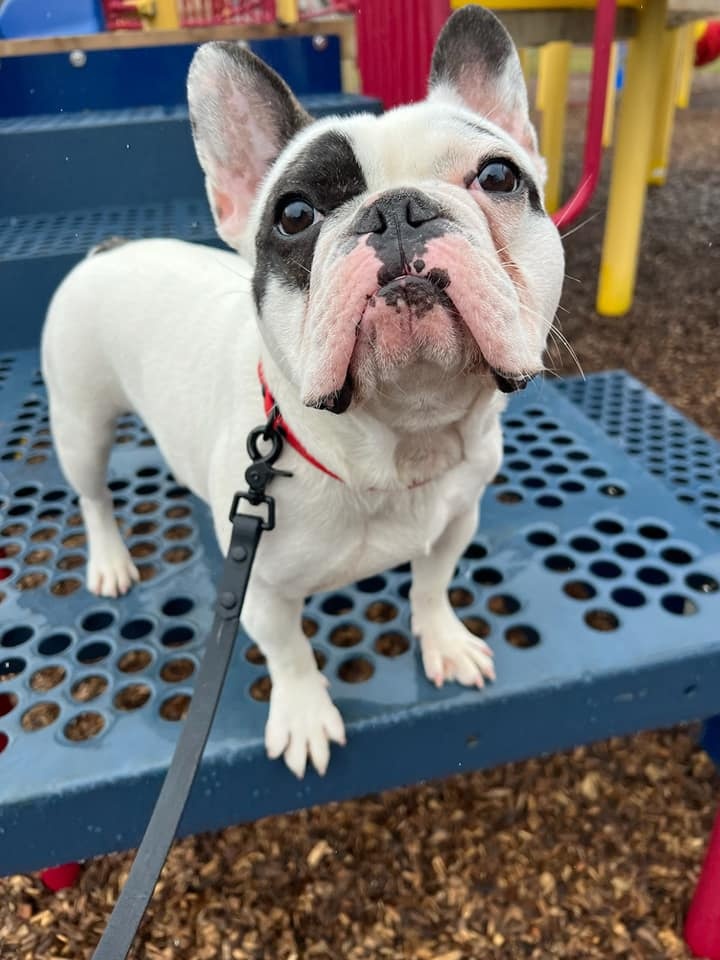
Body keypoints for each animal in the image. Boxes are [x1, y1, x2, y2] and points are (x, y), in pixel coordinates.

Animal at [42, 7, 564, 780]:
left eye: (499, 176)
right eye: (294, 214)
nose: (398, 211)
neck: (397, 445)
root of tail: (108, 249)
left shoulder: (456, 520)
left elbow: (432, 583)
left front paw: (443, 639)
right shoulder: (259, 589)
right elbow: (288, 653)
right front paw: (305, 715)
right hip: (80, 420)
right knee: (93, 495)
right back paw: (109, 559)